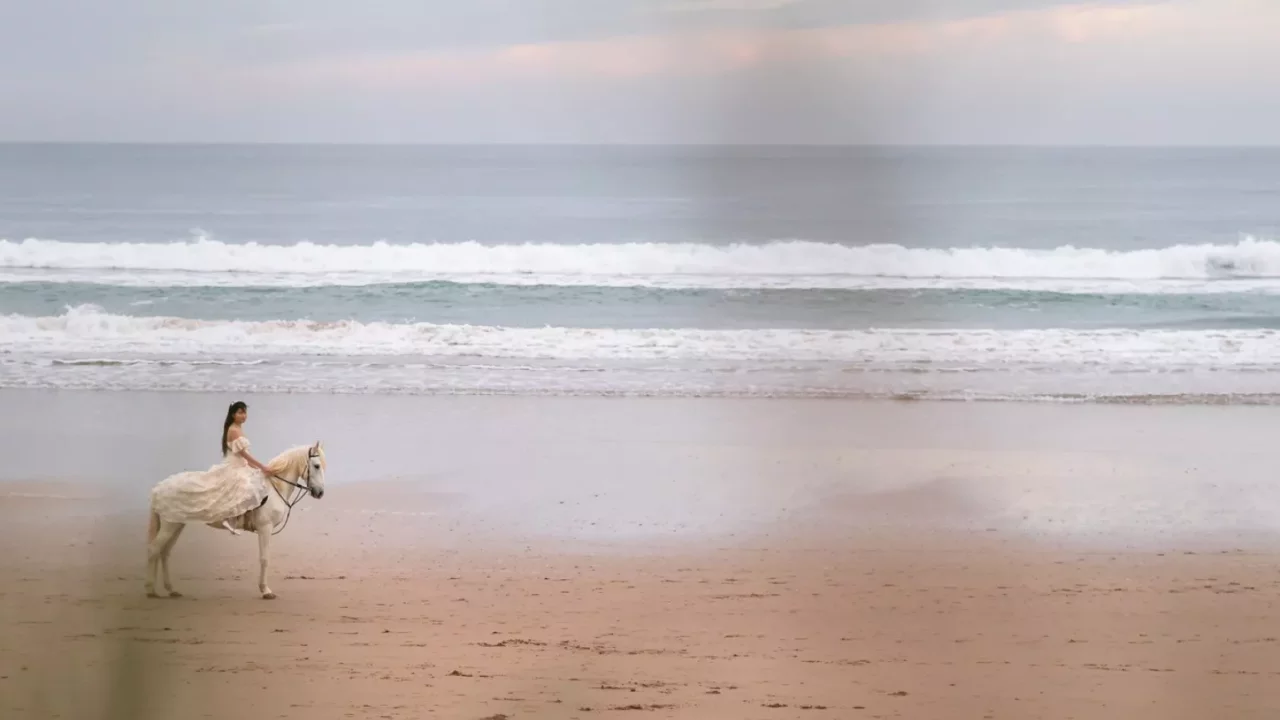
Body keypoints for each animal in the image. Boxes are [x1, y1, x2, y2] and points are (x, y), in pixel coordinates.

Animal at [145, 442, 327, 600]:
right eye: (317, 466)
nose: (320, 493)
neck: (274, 487)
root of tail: (158, 487)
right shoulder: (265, 528)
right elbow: (264, 559)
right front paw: (266, 591)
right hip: (170, 525)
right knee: (154, 550)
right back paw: (151, 590)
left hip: (177, 524)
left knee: (164, 553)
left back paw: (171, 589)